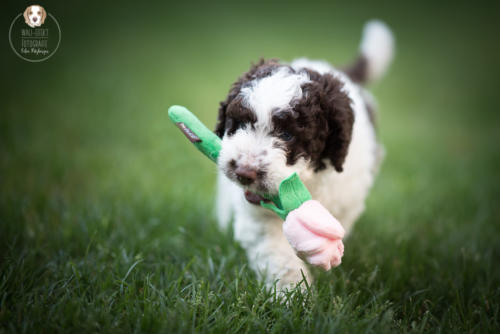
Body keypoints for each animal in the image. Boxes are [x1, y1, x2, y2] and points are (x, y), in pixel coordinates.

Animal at [215, 20, 394, 290]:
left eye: (288, 135)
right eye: (238, 123)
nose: (244, 173)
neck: (308, 181)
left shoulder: (345, 201)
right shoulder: (259, 217)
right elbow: (276, 252)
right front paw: (292, 292)